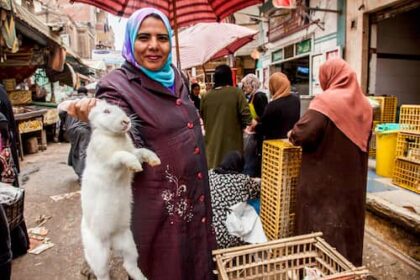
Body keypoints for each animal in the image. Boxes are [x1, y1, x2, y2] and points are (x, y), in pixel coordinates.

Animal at [79, 100, 160, 280]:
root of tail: (111, 239)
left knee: (129, 265)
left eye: (121, 109)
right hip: (99, 255)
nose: (126, 121)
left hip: (129, 245)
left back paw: (142, 278)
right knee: (102, 273)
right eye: (106, 111)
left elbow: (141, 152)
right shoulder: (109, 163)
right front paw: (135, 166)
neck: (113, 136)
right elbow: (122, 155)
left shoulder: (135, 151)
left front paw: (155, 160)